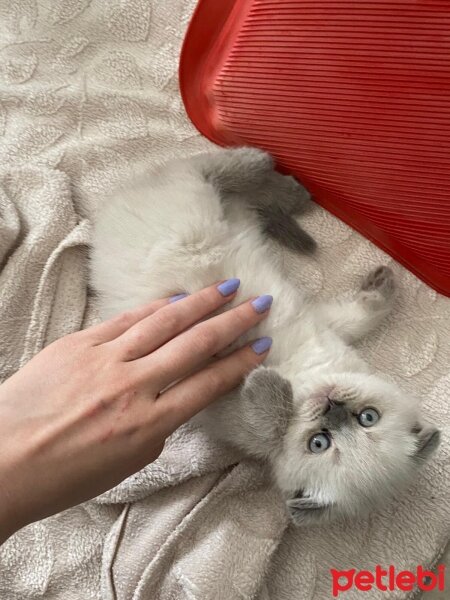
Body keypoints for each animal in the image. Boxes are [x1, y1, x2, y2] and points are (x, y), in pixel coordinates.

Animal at [91, 149, 440, 524]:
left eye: (320, 442)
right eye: (368, 417)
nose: (332, 407)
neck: (305, 377)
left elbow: (269, 415)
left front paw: (264, 381)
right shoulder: (313, 332)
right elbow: (361, 317)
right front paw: (383, 283)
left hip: (206, 206)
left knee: (214, 182)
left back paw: (283, 188)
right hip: (199, 205)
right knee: (204, 168)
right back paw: (269, 169)